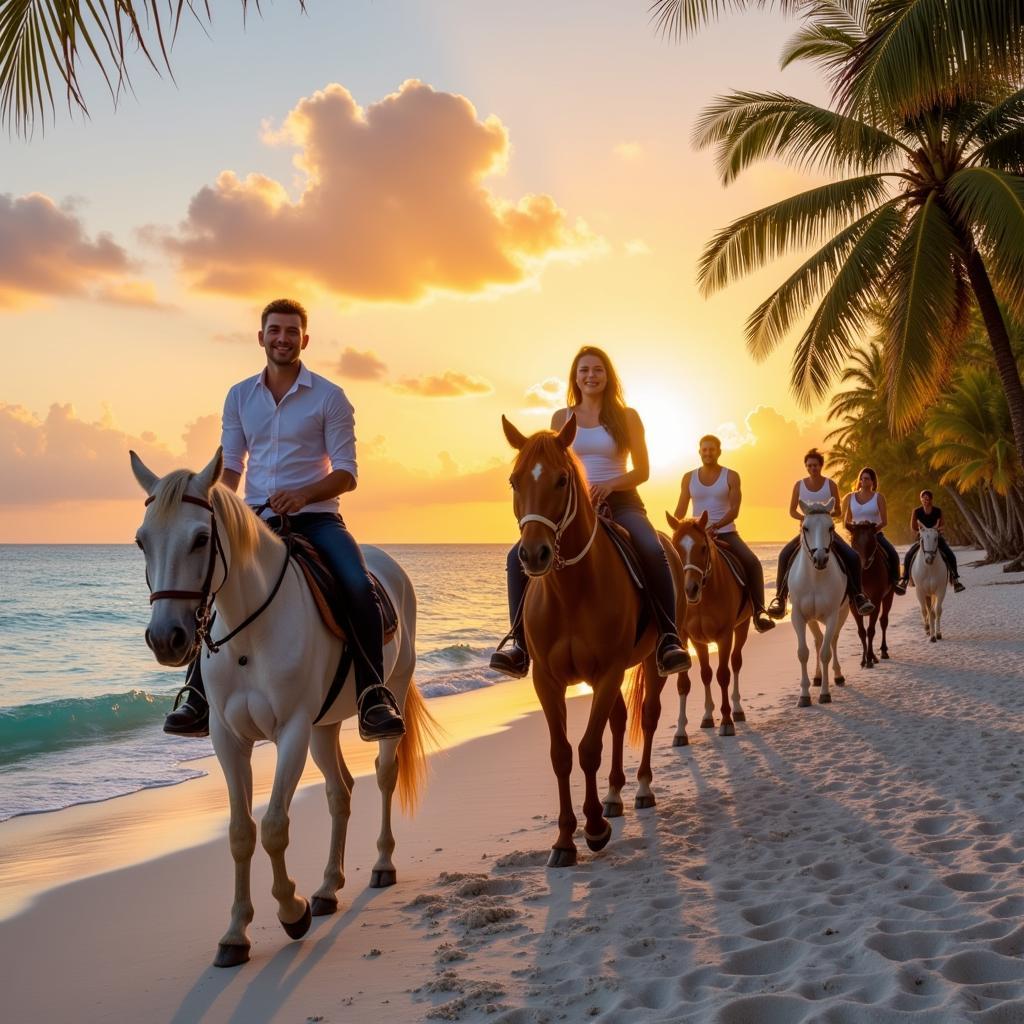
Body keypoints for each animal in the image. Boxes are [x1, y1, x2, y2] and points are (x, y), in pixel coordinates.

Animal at [130, 448, 434, 966]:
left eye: (201, 538)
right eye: (141, 541)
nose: (167, 639)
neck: (250, 633)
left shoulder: (291, 731)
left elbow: (273, 825)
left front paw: (292, 912)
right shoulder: (229, 739)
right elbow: (240, 832)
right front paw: (236, 933)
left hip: (385, 697)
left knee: (383, 775)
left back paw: (381, 864)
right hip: (323, 727)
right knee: (339, 791)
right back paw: (329, 888)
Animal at [501, 411, 684, 868]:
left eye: (562, 479)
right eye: (514, 481)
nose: (534, 555)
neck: (571, 591)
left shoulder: (607, 671)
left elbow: (587, 748)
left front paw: (595, 829)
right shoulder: (547, 681)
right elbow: (562, 754)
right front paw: (565, 840)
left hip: (650, 662)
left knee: (648, 716)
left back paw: (640, 790)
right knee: (619, 720)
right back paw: (614, 796)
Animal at [651, 509, 757, 745]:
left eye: (702, 548)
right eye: (676, 547)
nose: (689, 589)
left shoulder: (724, 636)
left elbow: (723, 675)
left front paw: (726, 722)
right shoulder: (690, 638)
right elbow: (694, 679)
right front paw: (682, 730)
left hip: (742, 627)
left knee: (736, 663)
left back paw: (737, 710)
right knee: (708, 673)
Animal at [786, 499, 851, 708]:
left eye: (831, 527)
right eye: (805, 527)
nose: (820, 559)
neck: (815, 578)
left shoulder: (832, 615)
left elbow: (825, 653)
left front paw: (825, 694)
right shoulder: (798, 616)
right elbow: (803, 652)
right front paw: (804, 696)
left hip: (843, 613)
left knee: (833, 640)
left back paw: (838, 676)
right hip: (812, 619)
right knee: (818, 640)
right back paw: (816, 677)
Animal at [847, 520, 897, 671]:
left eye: (871, 541)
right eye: (853, 540)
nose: (861, 563)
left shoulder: (876, 599)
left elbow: (870, 630)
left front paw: (869, 658)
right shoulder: (853, 605)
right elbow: (861, 631)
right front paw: (864, 659)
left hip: (888, 596)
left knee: (884, 621)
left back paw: (883, 651)